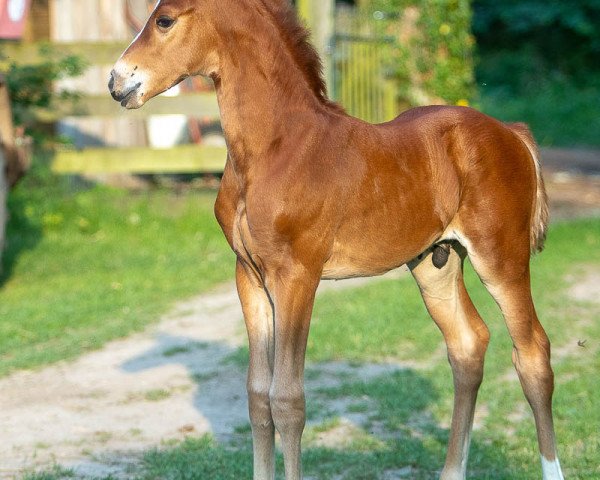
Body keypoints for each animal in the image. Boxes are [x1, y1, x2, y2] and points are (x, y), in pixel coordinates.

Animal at [110, 1, 564, 478]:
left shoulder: (297, 277)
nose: (116, 82)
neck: (275, 147)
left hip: (501, 257)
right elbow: (257, 397)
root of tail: (511, 132)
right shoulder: (248, 277)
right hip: (433, 263)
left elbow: (287, 400)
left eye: (164, 20)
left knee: (533, 352)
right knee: (467, 344)